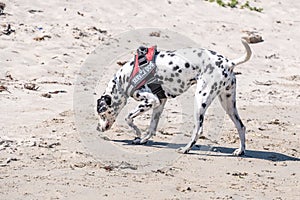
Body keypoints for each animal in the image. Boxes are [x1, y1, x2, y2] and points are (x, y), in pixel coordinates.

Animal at [97, 38, 252, 155]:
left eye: (102, 114)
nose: (98, 129)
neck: (123, 79)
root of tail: (228, 63)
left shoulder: (150, 100)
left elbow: (128, 117)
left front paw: (137, 133)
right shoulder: (159, 102)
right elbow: (152, 126)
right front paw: (143, 139)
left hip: (200, 100)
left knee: (198, 130)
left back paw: (186, 148)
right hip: (228, 104)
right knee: (241, 126)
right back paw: (240, 150)